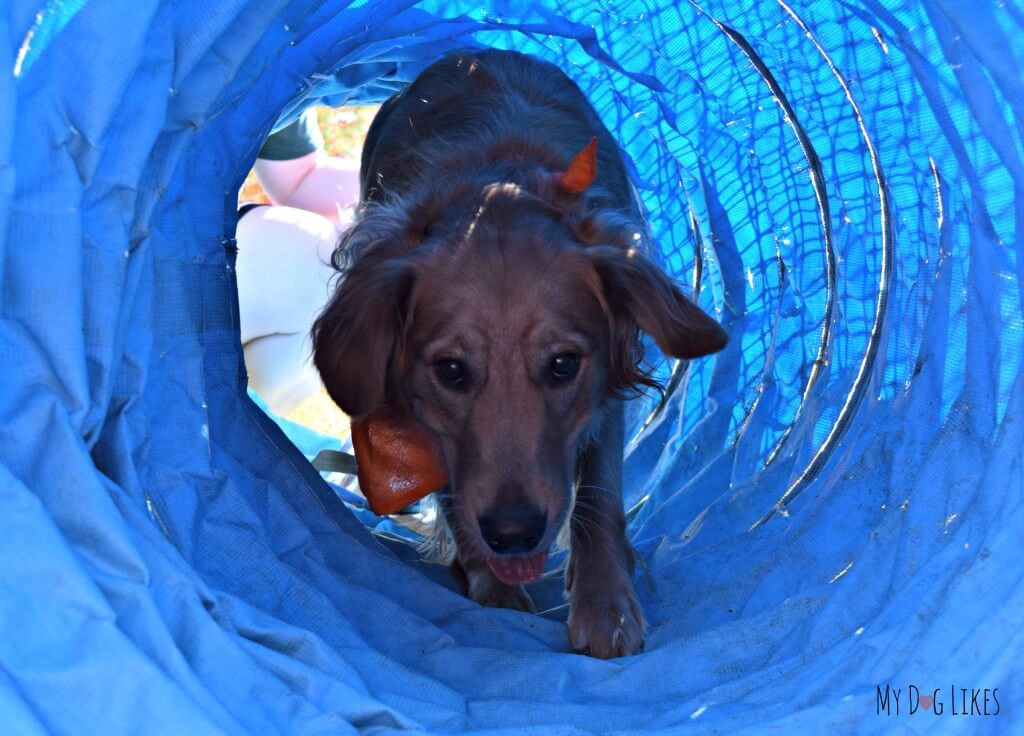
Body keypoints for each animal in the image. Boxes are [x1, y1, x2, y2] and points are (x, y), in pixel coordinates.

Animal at [311, 48, 729, 659]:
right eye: (451, 370)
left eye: (562, 364)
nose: (514, 534)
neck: (500, 177)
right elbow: (454, 495)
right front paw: (493, 586)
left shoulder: (607, 392)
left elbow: (599, 494)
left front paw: (605, 606)